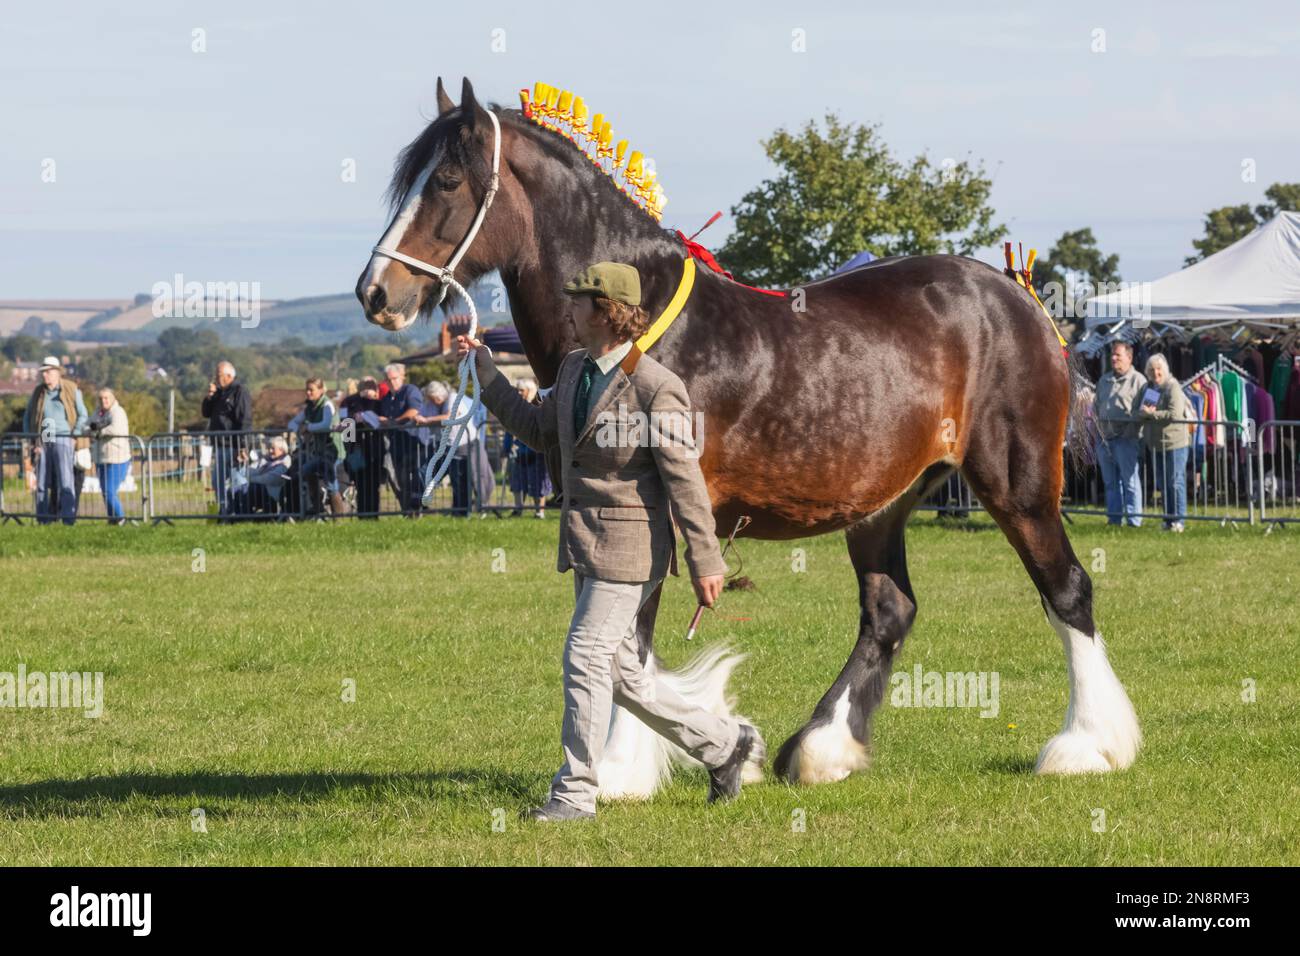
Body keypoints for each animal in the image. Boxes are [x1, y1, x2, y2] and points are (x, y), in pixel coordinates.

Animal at [355, 77, 1141, 793]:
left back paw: (1087, 745)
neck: (639, 330)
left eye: (447, 181)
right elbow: (622, 644)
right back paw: (822, 749)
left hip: (1018, 483)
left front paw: (625, 769)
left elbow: (628, 644)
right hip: (884, 502)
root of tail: (1019, 295)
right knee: (889, 610)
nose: (375, 293)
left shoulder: (658, 508)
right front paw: (717, 744)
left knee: (1067, 590)